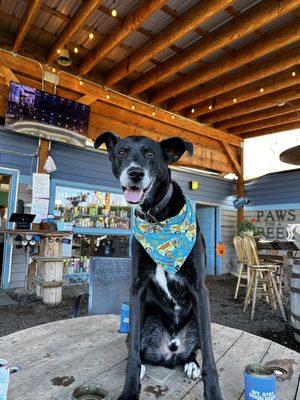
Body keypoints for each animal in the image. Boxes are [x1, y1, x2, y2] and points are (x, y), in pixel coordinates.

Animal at [94, 133, 223, 398]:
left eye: (150, 153)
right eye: (122, 152)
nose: (135, 173)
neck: (157, 218)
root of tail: (170, 353)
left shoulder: (199, 289)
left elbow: (209, 353)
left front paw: (213, 392)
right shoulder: (137, 289)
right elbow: (133, 354)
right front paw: (129, 390)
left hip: (196, 318)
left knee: (195, 350)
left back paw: (191, 363)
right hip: (145, 317)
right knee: (136, 348)